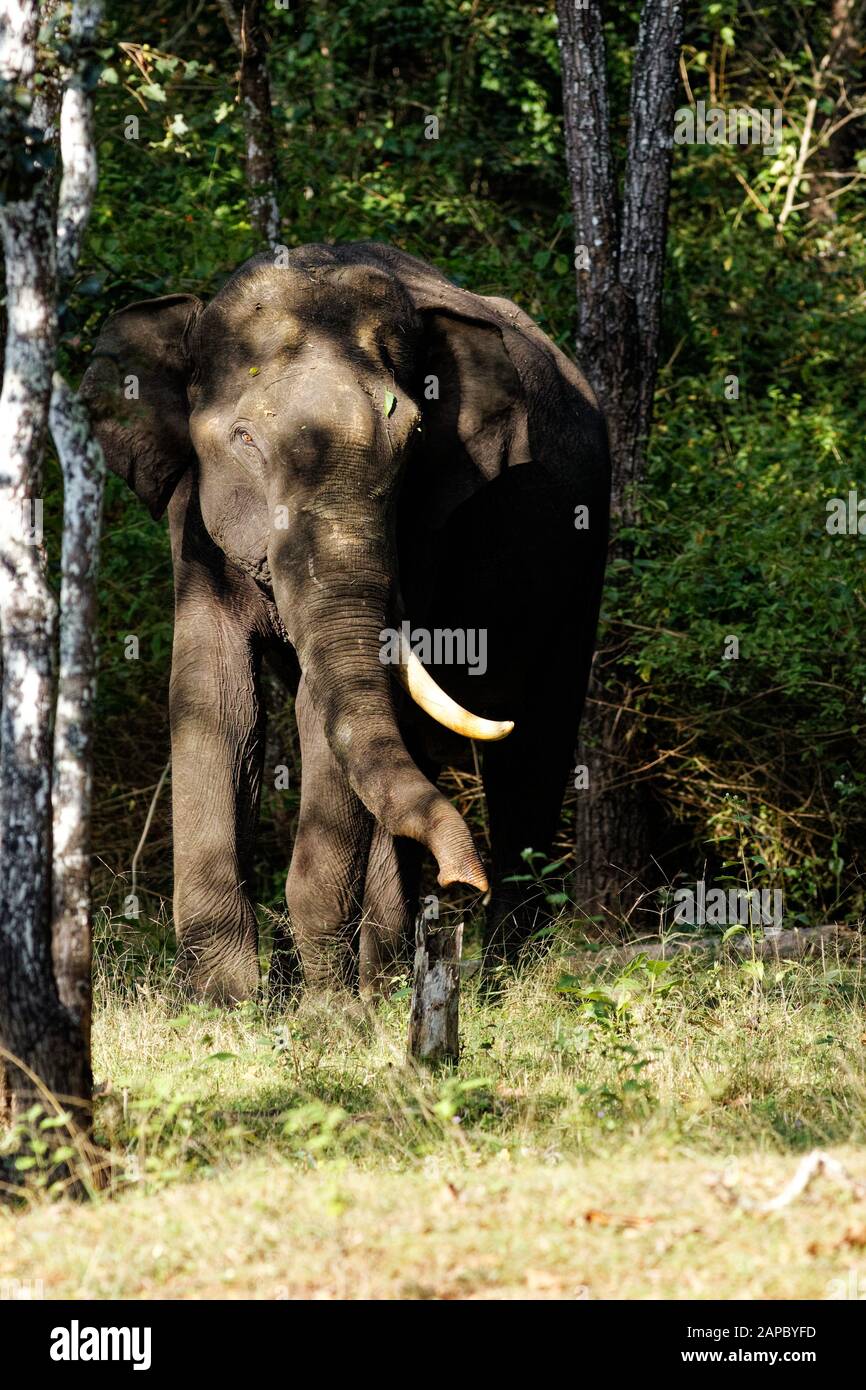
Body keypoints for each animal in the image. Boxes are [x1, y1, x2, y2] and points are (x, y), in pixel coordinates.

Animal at [81, 239, 608, 1000]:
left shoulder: (425, 526)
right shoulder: (196, 525)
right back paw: (390, 971)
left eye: (413, 440)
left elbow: (322, 707)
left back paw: (496, 979)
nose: (461, 879)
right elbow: (216, 694)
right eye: (244, 437)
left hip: (582, 550)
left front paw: (322, 998)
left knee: (531, 740)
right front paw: (228, 999)